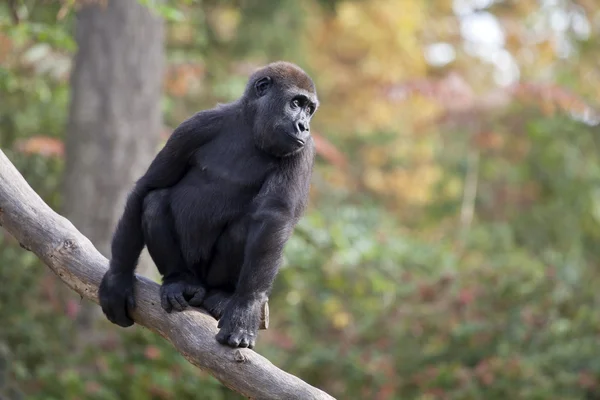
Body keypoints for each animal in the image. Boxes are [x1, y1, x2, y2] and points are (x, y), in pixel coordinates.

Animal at [98, 61, 318, 348]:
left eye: (309, 109)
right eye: (296, 103)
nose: (304, 126)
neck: (249, 126)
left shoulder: (304, 150)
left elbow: (273, 217)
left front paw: (246, 306)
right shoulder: (194, 127)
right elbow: (148, 186)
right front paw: (118, 278)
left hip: (211, 278)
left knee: (244, 228)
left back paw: (223, 294)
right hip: (192, 272)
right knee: (154, 201)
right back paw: (178, 280)